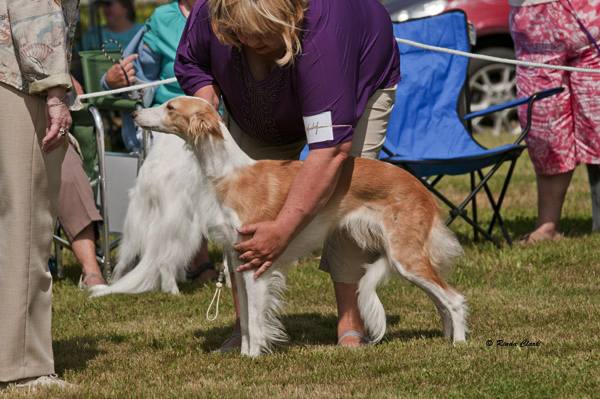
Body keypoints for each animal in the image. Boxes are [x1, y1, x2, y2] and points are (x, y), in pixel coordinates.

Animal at [130, 96, 468, 356]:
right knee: (441, 301)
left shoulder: (256, 262)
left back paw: (459, 345)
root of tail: (421, 188)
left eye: (170, 106)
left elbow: (255, 321)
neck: (230, 174)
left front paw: (253, 358)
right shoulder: (239, 261)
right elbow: (245, 319)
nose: (134, 113)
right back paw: (446, 337)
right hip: (407, 259)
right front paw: (242, 354)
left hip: (406, 256)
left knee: (454, 299)